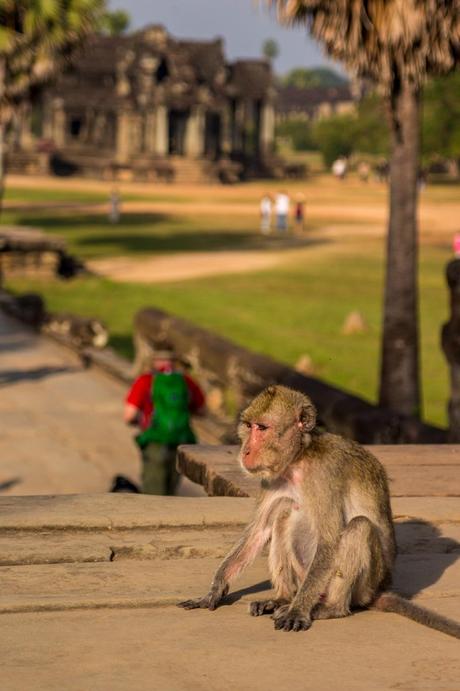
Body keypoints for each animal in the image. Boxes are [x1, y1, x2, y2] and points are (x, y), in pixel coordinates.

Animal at [179, 386, 460, 640]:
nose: (246, 450)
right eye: (249, 426)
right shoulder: (272, 479)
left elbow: (330, 539)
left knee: (358, 527)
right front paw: (213, 592)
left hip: (361, 586)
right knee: (282, 515)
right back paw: (282, 598)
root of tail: (378, 591)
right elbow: (258, 532)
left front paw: (298, 612)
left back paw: (329, 608)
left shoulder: (325, 473)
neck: (299, 459)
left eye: (262, 428)